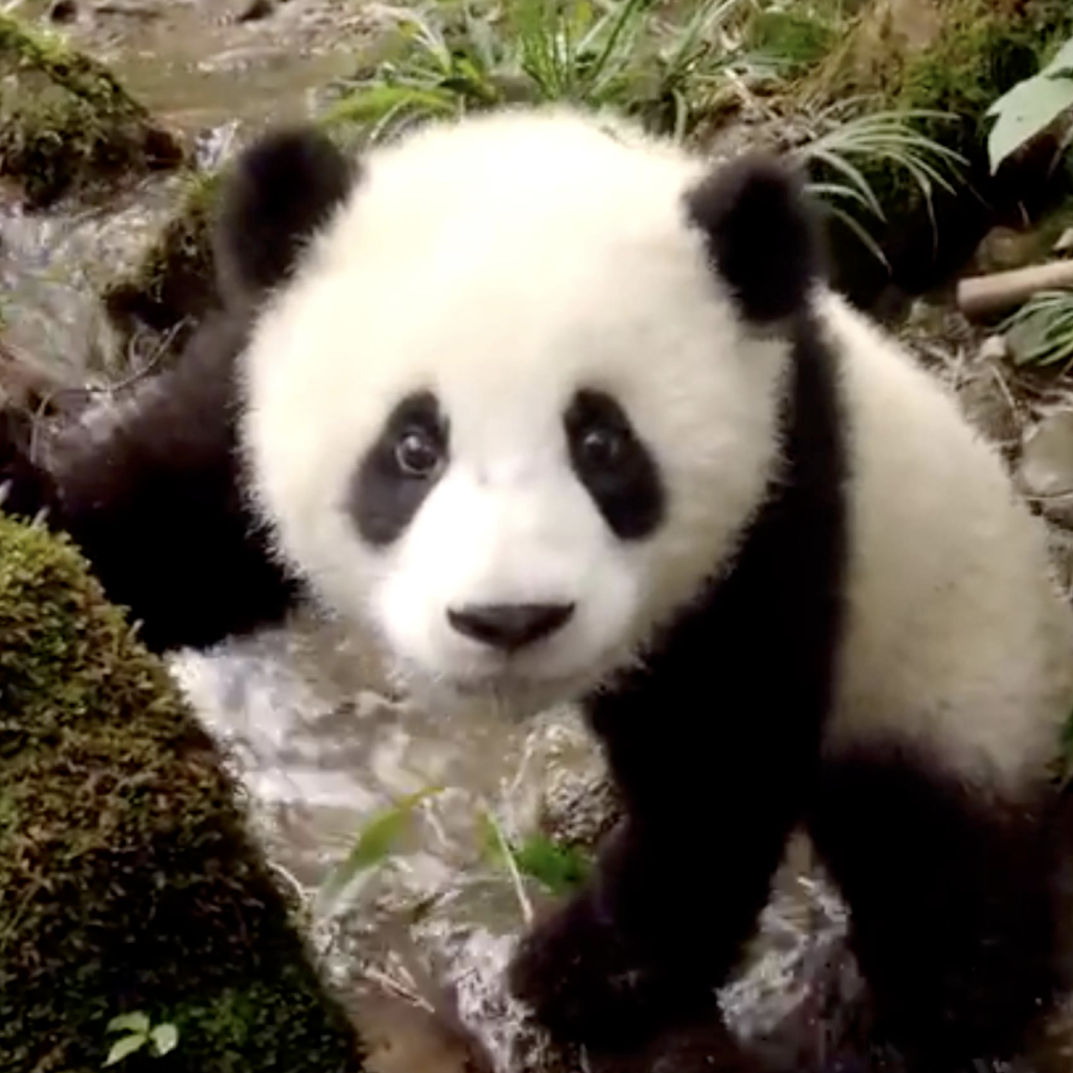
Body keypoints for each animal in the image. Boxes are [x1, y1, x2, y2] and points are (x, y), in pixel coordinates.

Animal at [4, 105, 1073, 1072]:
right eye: (412, 445)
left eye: (601, 442)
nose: (507, 618)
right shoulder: (245, 373)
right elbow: (179, 530)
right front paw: (29, 507)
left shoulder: (782, 497)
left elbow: (718, 755)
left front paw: (583, 971)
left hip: (952, 661)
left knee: (936, 860)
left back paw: (936, 1002)